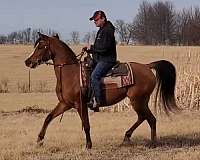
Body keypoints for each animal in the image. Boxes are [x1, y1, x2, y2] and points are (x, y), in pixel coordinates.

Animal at [24, 32, 179, 149]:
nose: (28, 61)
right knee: (143, 117)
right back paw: (127, 137)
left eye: (40, 46)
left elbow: (86, 124)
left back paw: (152, 143)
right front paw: (39, 140)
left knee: (150, 119)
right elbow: (48, 117)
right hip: (140, 101)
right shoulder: (65, 104)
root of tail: (147, 66)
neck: (70, 73)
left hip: (138, 100)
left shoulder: (80, 104)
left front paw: (88, 145)